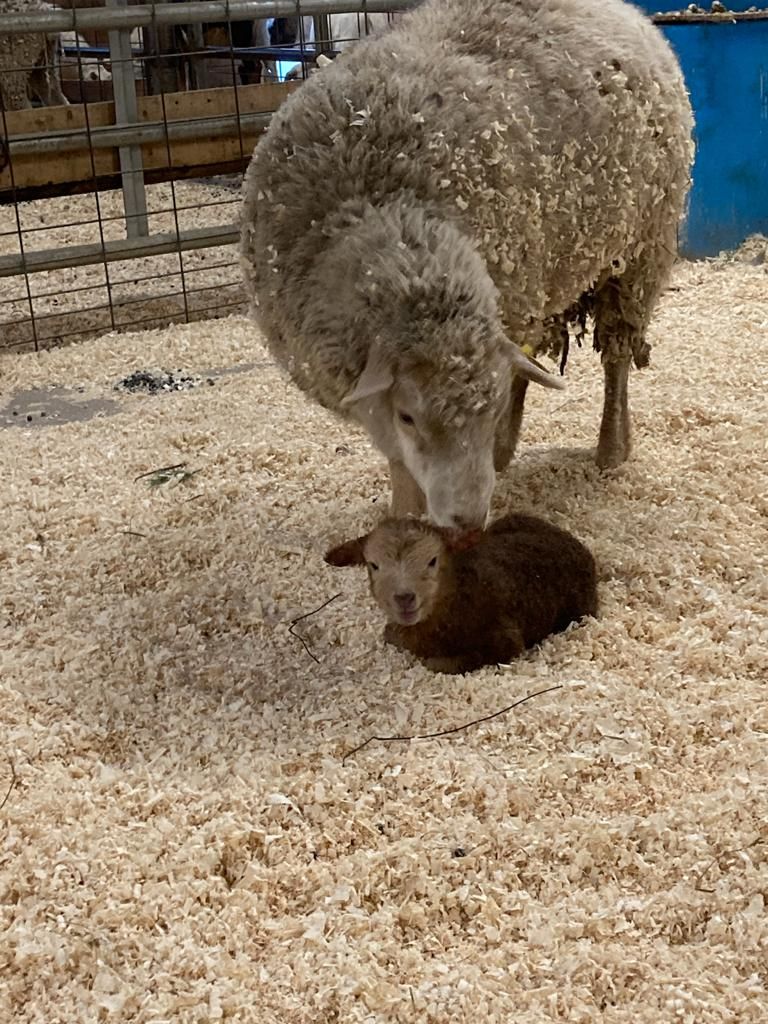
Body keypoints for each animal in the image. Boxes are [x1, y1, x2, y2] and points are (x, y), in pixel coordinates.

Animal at [240, 0, 694, 530]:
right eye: (409, 417)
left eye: (487, 412)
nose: (470, 518)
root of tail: (628, 12)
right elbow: (400, 460)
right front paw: (406, 517)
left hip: (637, 256)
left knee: (616, 359)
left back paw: (609, 449)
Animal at [324, 513, 598, 674]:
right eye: (373, 565)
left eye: (433, 560)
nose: (404, 598)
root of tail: (569, 539)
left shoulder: (504, 641)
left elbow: (436, 662)